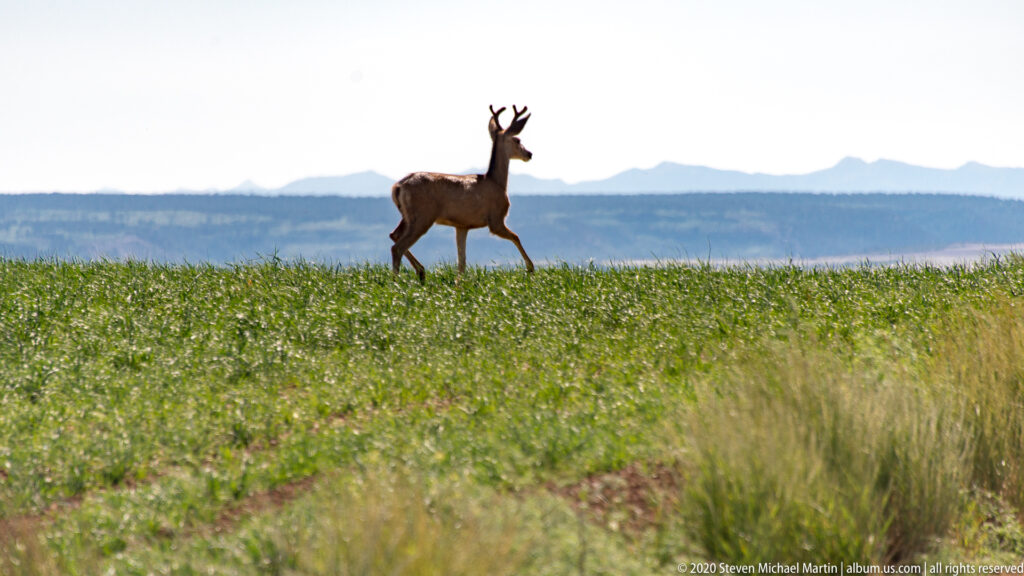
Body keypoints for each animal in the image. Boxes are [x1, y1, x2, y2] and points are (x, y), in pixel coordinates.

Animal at [389, 105, 535, 282]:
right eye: (517, 140)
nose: (529, 154)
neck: (496, 182)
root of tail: (398, 186)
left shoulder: (462, 225)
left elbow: (462, 261)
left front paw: (459, 283)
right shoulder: (495, 220)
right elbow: (516, 237)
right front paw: (530, 268)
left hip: (407, 217)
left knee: (394, 235)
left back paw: (421, 272)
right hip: (422, 216)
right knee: (398, 247)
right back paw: (398, 281)